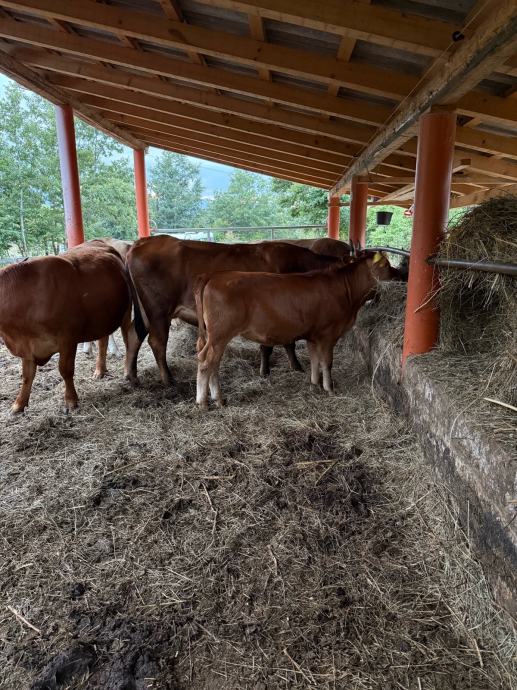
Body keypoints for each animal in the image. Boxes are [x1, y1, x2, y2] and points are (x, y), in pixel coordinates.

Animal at [0, 241, 132, 413]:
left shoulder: (67, 340)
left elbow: (65, 370)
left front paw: (70, 401)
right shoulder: (27, 346)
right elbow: (27, 376)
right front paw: (18, 405)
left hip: (126, 312)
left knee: (128, 338)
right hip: (103, 316)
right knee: (103, 342)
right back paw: (99, 371)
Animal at [125, 235, 346, 386]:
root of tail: (142, 242)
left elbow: (284, 343)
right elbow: (277, 344)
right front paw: (274, 370)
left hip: (145, 313)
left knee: (134, 336)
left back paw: (132, 376)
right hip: (159, 312)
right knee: (157, 342)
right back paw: (168, 379)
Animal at [194, 252, 395, 409]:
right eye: (386, 264)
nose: (399, 274)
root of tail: (214, 275)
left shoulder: (313, 336)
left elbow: (315, 360)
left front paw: (315, 384)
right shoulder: (327, 335)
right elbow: (327, 363)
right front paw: (329, 388)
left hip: (214, 337)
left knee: (213, 364)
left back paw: (217, 399)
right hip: (219, 335)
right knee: (206, 363)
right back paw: (205, 402)